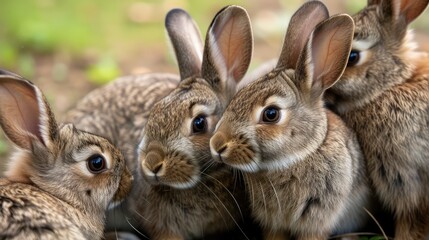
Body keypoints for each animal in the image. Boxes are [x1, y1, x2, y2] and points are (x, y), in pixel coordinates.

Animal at [209, 0, 372, 239]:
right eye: (237, 96)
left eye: (271, 114)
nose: (217, 145)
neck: (296, 158)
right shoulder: (273, 221)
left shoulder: (316, 218)